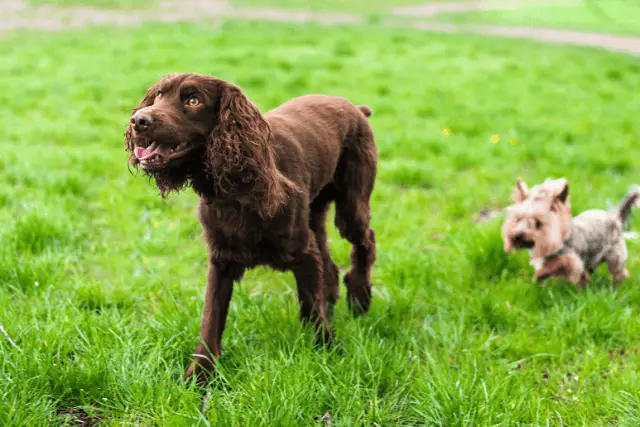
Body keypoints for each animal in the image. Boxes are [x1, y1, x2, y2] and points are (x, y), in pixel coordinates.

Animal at [124, 73, 380, 384]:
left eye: (193, 100)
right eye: (158, 95)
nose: (138, 120)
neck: (237, 191)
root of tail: (355, 108)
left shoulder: (302, 253)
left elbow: (310, 308)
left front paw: (325, 354)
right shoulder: (221, 260)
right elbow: (210, 320)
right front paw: (198, 377)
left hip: (351, 203)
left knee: (365, 240)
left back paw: (360, 297)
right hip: (315, 213)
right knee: (328, 263)